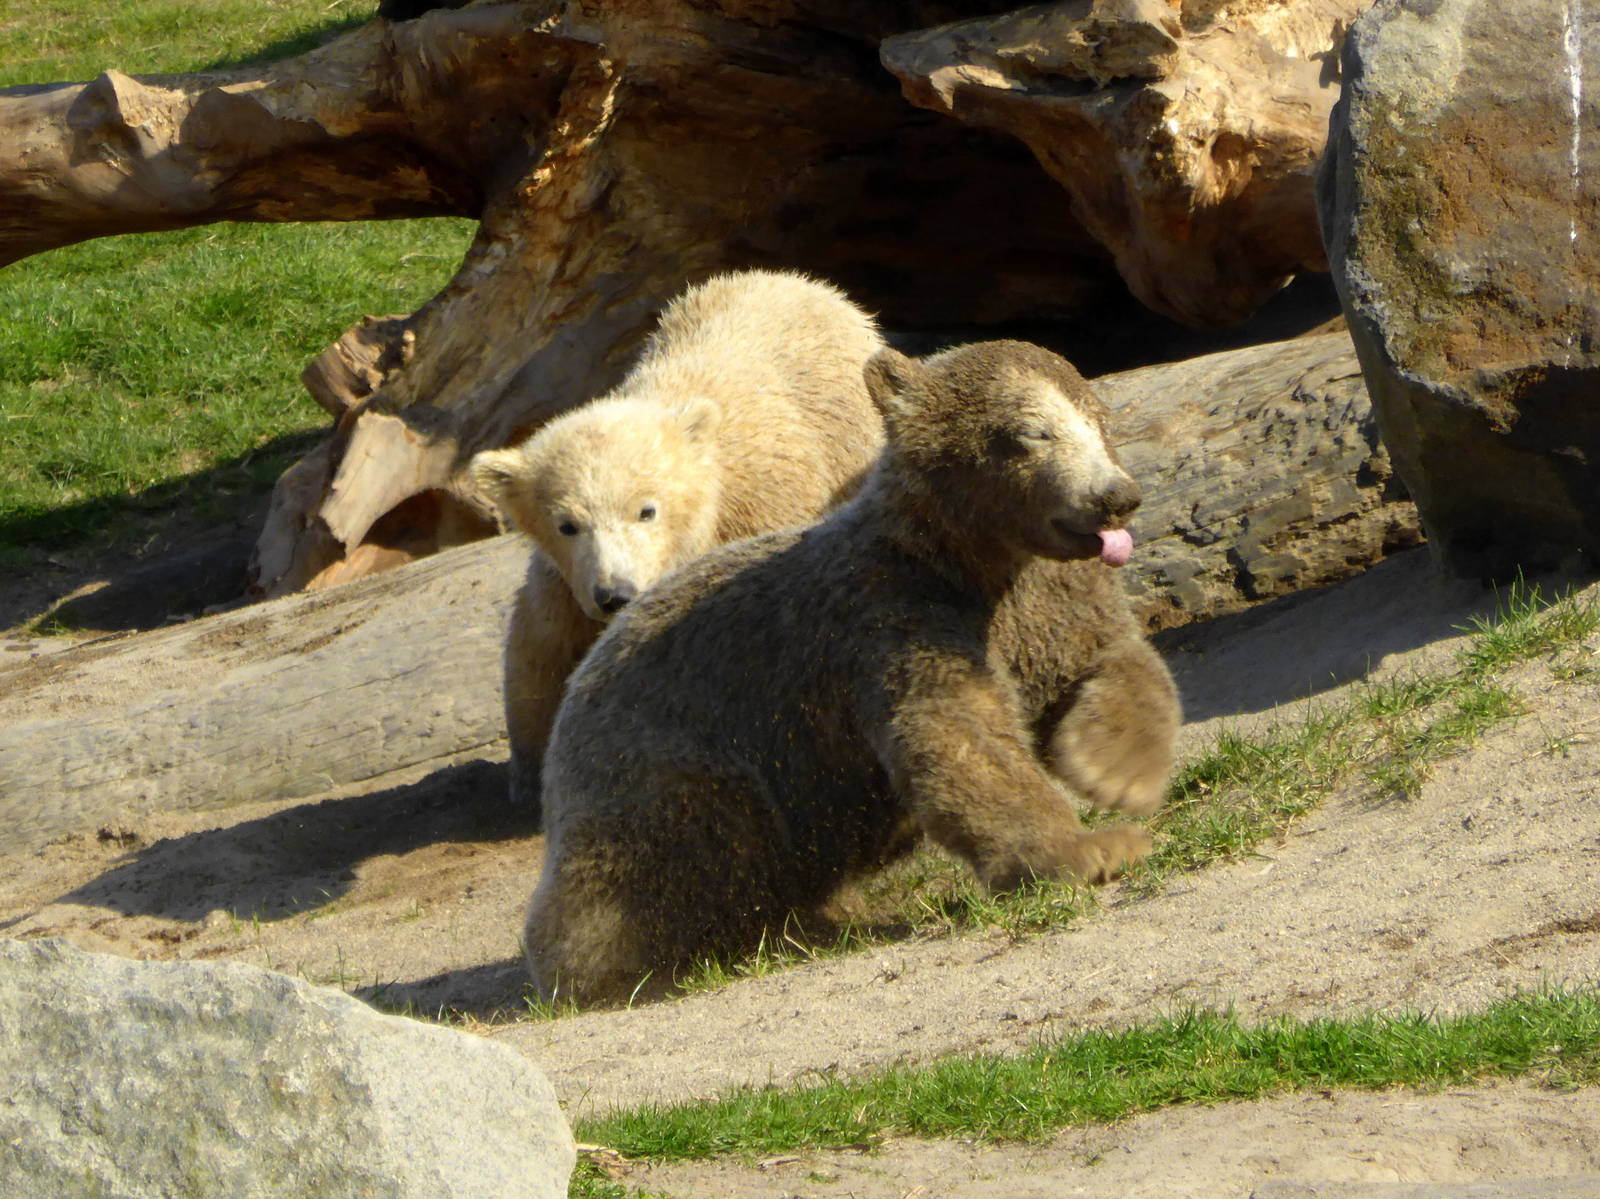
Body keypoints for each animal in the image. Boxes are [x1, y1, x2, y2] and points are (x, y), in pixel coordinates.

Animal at [468, 271, 888, 823]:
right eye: (567, 524)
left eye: (646, 510)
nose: (616, 595)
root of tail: (800, 282)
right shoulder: (566, 583)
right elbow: (540, 648)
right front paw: (530, 779)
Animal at [523, 338, 1181, 1005]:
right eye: (1032, 432)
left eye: (1097, 420)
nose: (1116, 495)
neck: (968, 562)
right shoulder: (891, 623)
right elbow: (958, 741)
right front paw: (1092, 849)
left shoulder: (1054, 606)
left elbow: (1119, 663)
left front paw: (1116, 773)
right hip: (661, 760)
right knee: (674, 851)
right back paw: (623, 966)